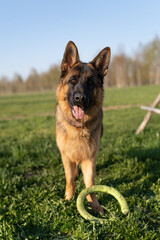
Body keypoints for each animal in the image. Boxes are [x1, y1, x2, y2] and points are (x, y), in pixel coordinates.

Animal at [55, 41, 110, 214]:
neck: (78, 127)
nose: (80, 98)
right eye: (72, 80)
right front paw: (69, 198)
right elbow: (69, 179)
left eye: (90, 82)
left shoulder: (89, 158)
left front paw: (95, 205)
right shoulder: (66, 156)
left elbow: (90, 184)